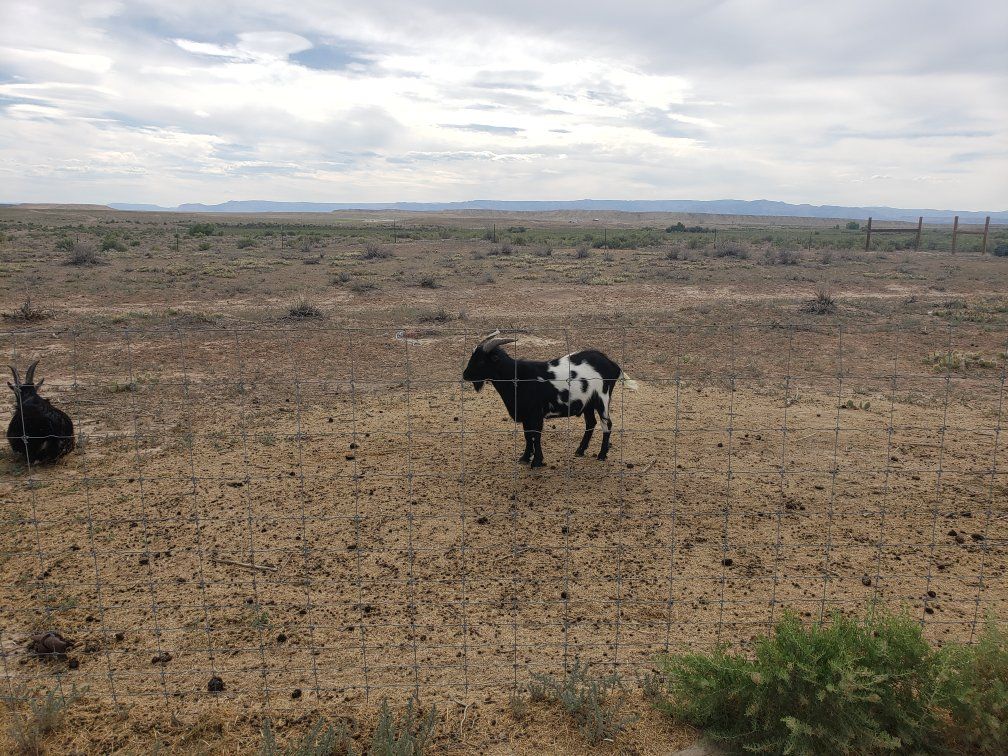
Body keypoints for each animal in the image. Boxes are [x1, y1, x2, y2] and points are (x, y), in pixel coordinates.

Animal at [462, 331, 637, 467]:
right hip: (587, 402)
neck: (517, 377)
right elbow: (527, 435)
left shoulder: (536, 414)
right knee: (591, 423)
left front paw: (537, 461)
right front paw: (525, 457)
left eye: (481, 360)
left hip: (602, 398)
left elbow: (536, 435)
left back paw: (601, 455)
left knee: (607, 424)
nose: (465, 375)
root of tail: (612, 364)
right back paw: (580, 450)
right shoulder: (525, 414)